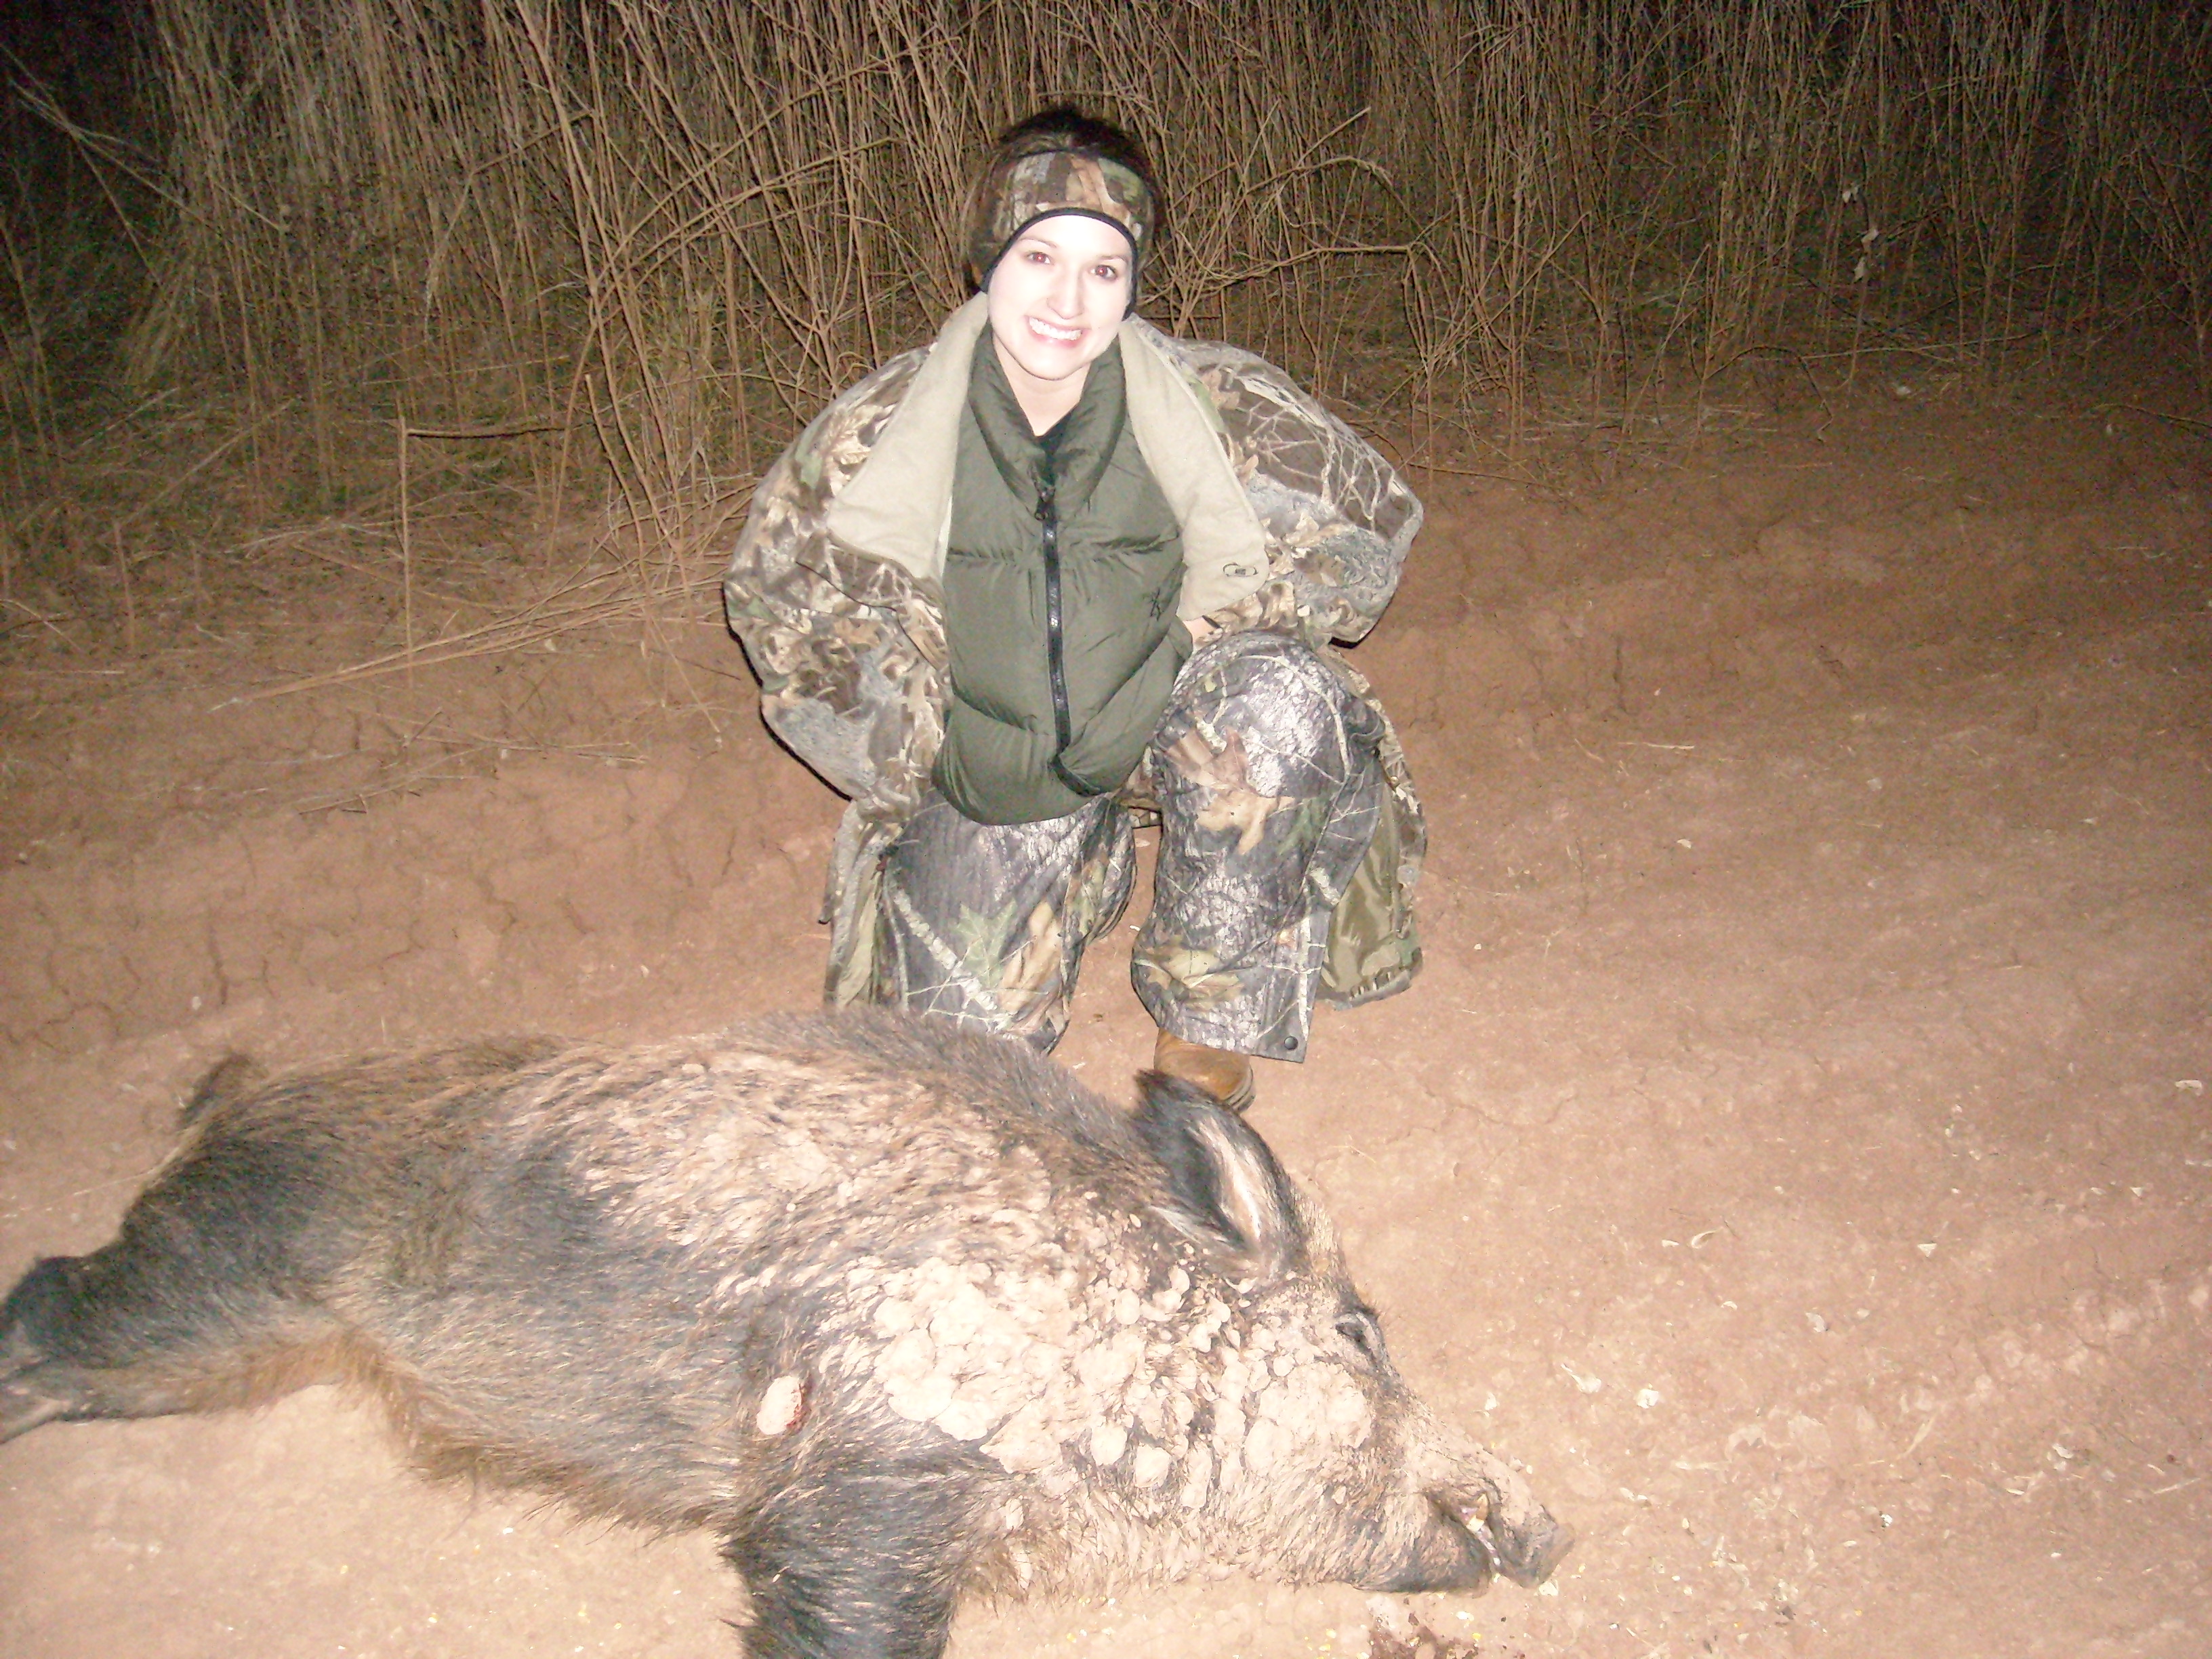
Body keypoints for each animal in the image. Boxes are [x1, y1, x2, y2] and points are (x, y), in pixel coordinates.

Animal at [1, 1009, 1569, 1657]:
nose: (1558, 1526)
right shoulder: (878, 1459)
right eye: (1362, 1333)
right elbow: (850, 1613)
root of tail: (241, 1096)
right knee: (51, 1302)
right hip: (212, 1281)